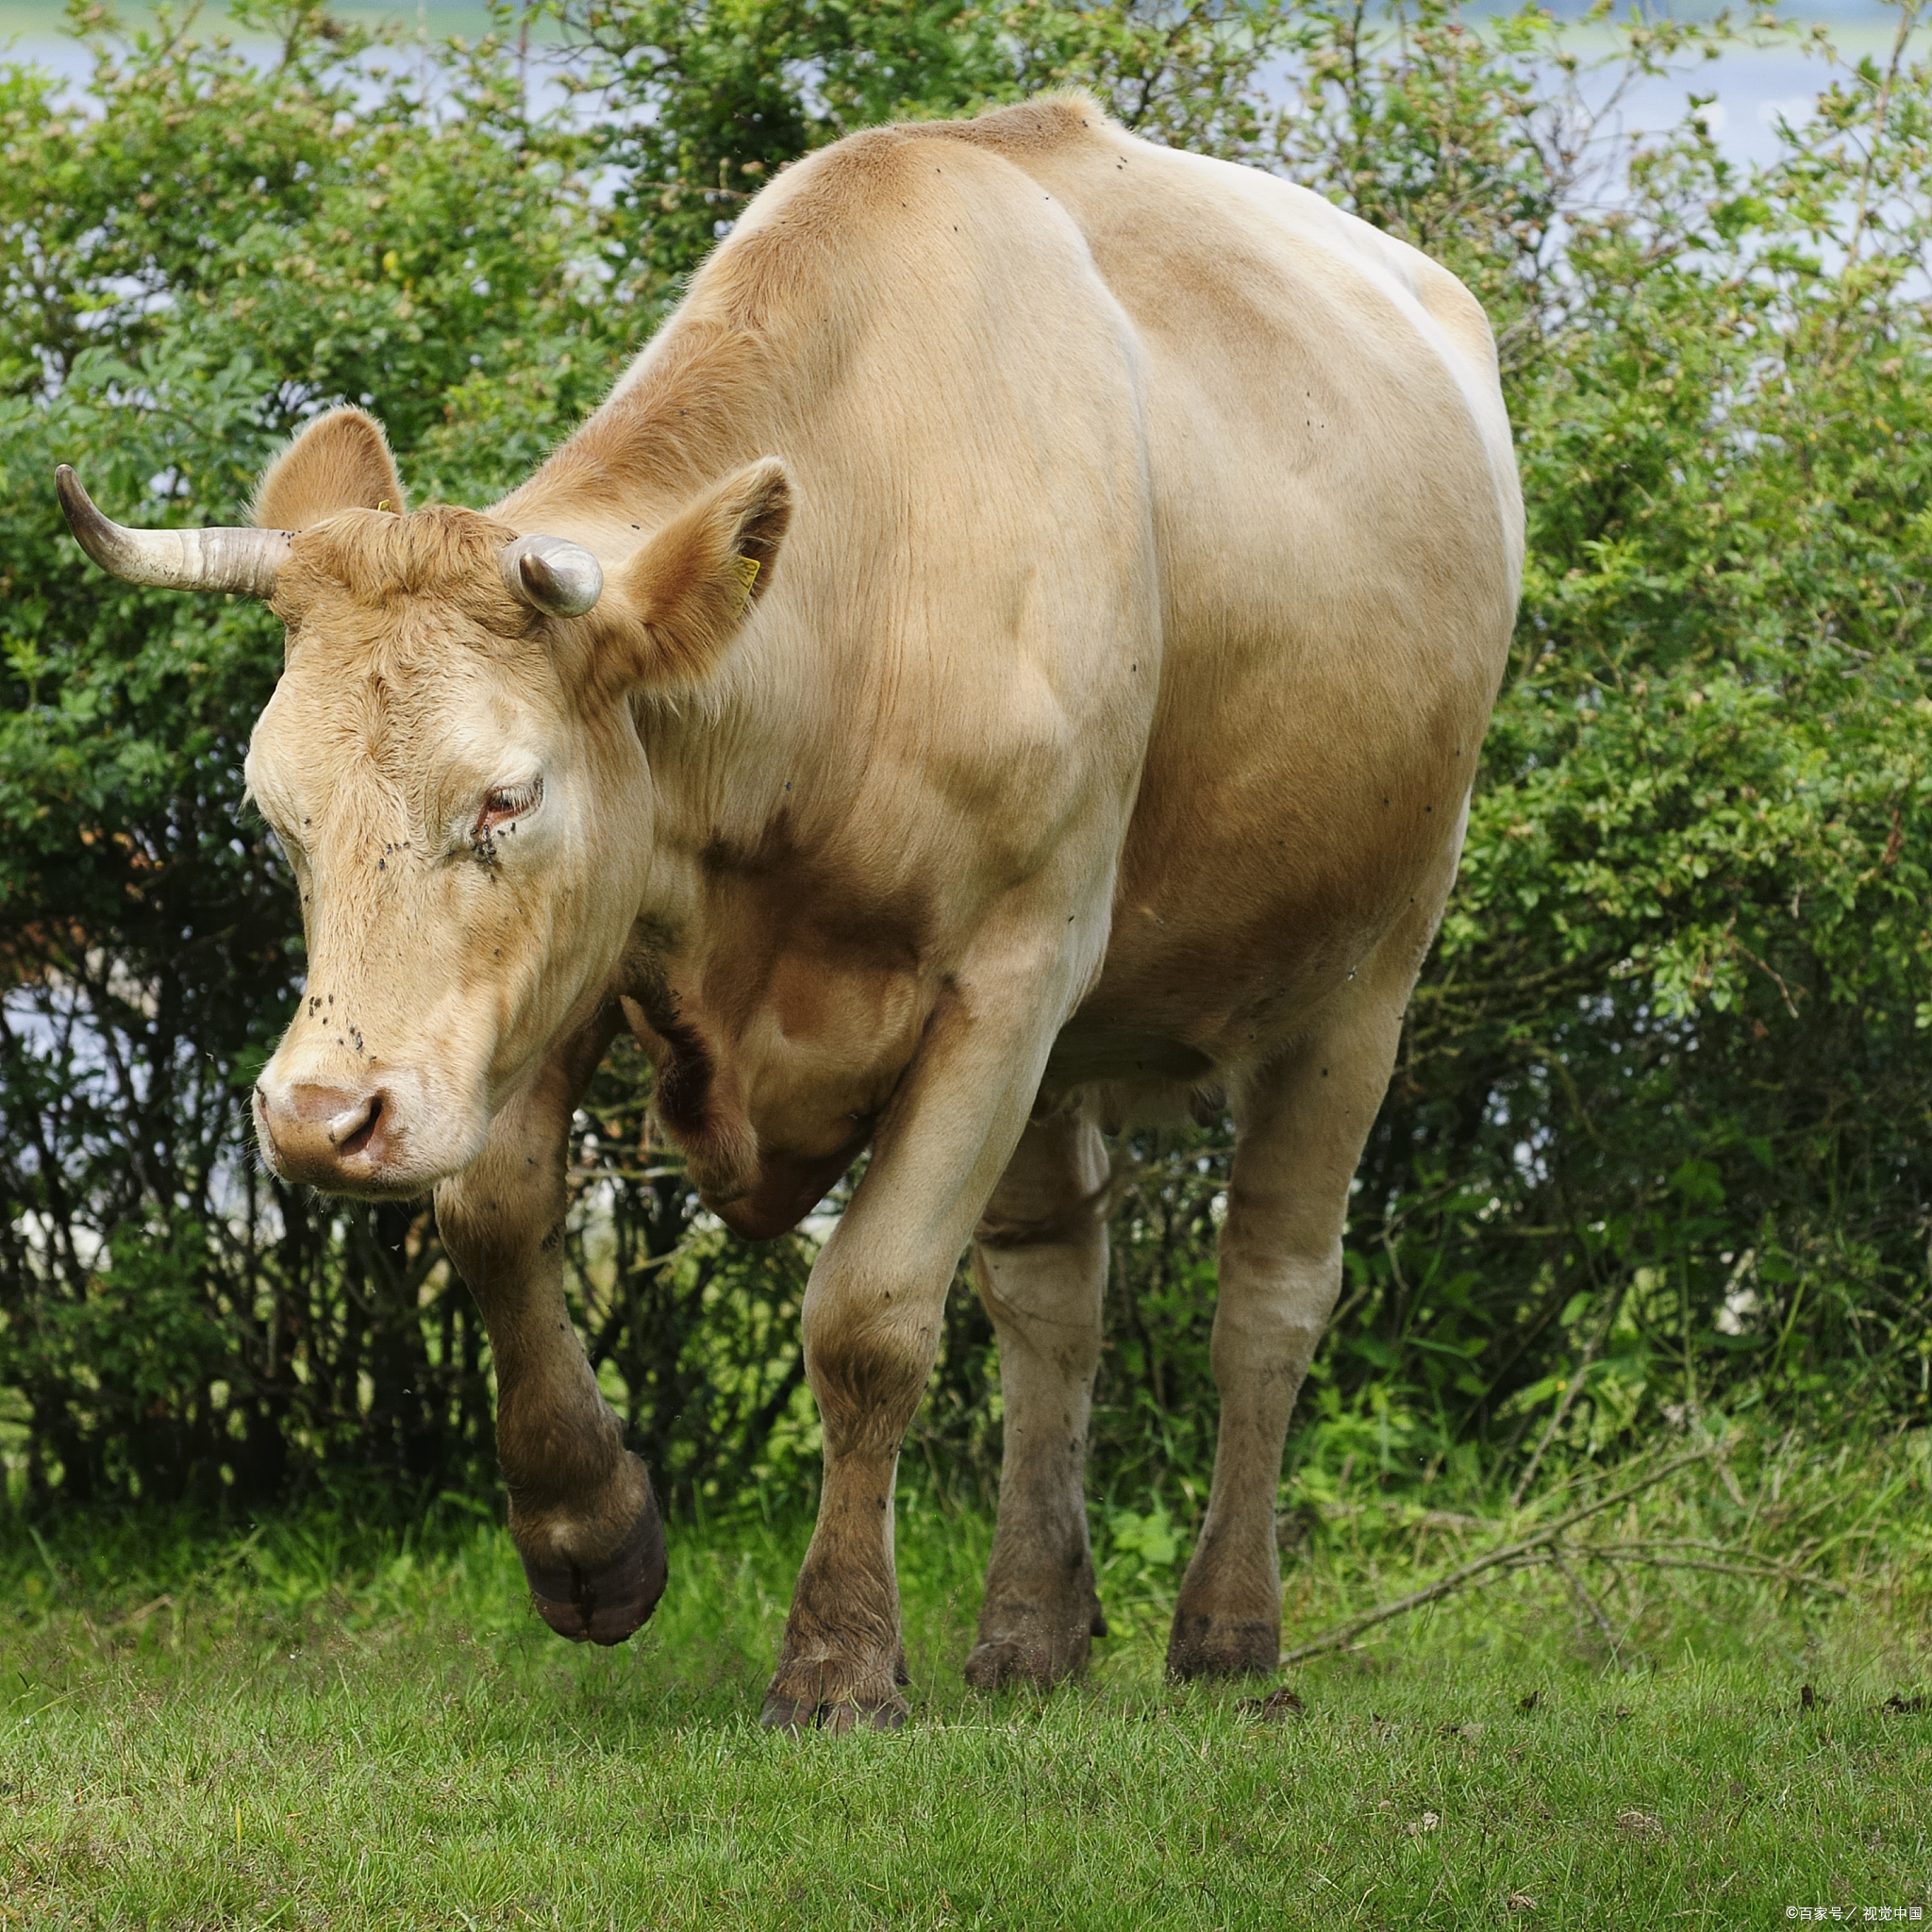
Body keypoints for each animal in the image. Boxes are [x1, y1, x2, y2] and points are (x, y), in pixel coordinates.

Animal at [60, 91, 1522, 1731]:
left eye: (507, 798)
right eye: (275, 806)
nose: (321, 1117)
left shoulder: (1012, 976)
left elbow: (870, 1313)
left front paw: (837, 1659)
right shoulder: (593, 943)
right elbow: (493, 1214)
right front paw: (592, 1537)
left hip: (1364, 978)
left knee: (1267, 1296)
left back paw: (1225, 1631)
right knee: (1053, 1298)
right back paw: (1031, 1625)